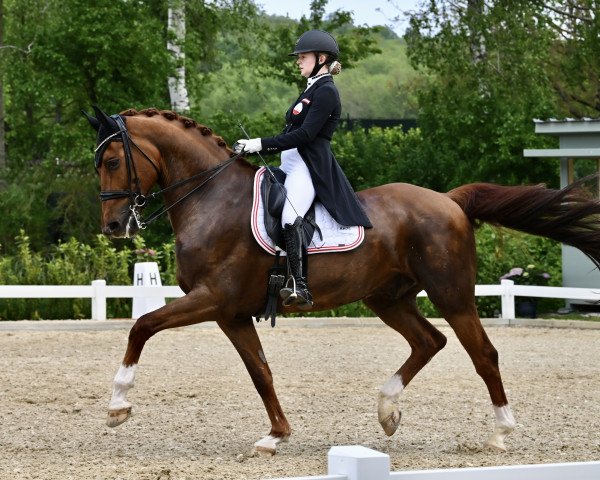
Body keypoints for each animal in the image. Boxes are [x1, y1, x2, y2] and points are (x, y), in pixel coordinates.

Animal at [85, 107, 600, 456]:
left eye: (111, 161)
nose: (113, 227)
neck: (213, 200)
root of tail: (449, 200)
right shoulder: (230, 313)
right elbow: (260, 372)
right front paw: (275, 436)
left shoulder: (211, 299)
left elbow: (142, 326)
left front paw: (117, 405)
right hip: (387, 298)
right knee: (429, 342)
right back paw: (388, 410)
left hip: (451, 294)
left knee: (483, 354)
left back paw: (500, 431)